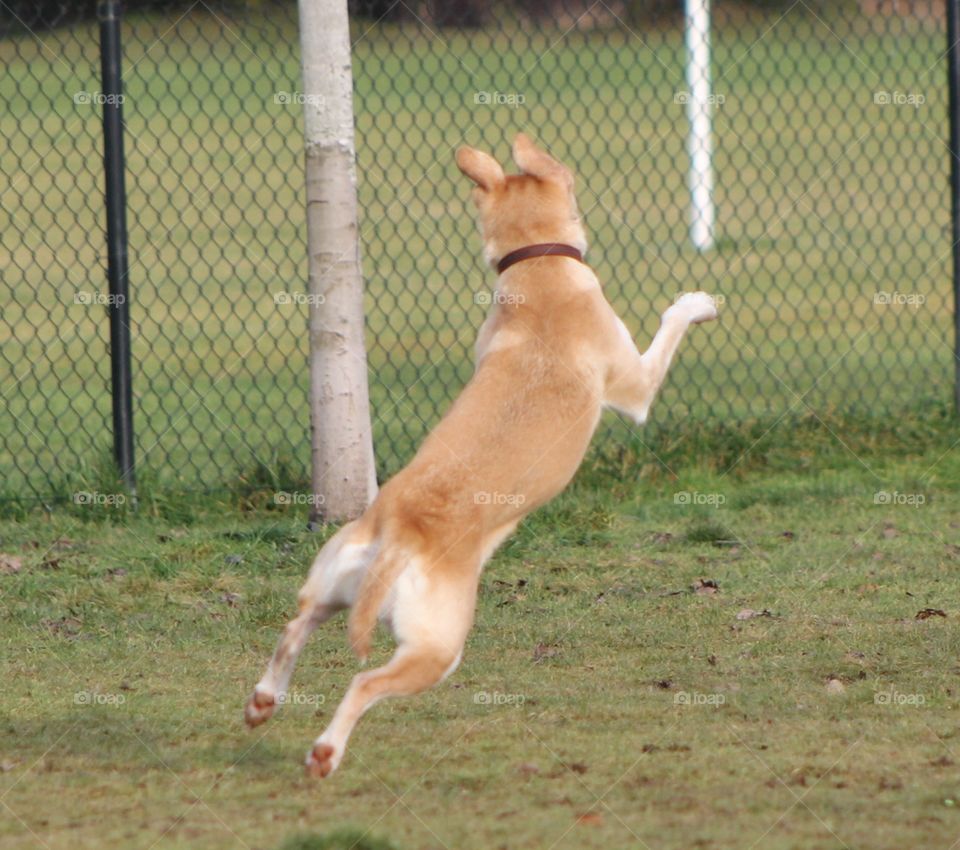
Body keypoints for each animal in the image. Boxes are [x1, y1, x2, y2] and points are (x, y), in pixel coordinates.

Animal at [244, 134, 716, 776]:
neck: (537, 265)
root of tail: (399, 536)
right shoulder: (635, 389)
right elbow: (668, 328)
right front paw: (696, 301)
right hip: (437, 648)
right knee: (364, 682)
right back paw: (325, 751)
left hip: (333, 583)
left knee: (294, 627)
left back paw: (264, 701)